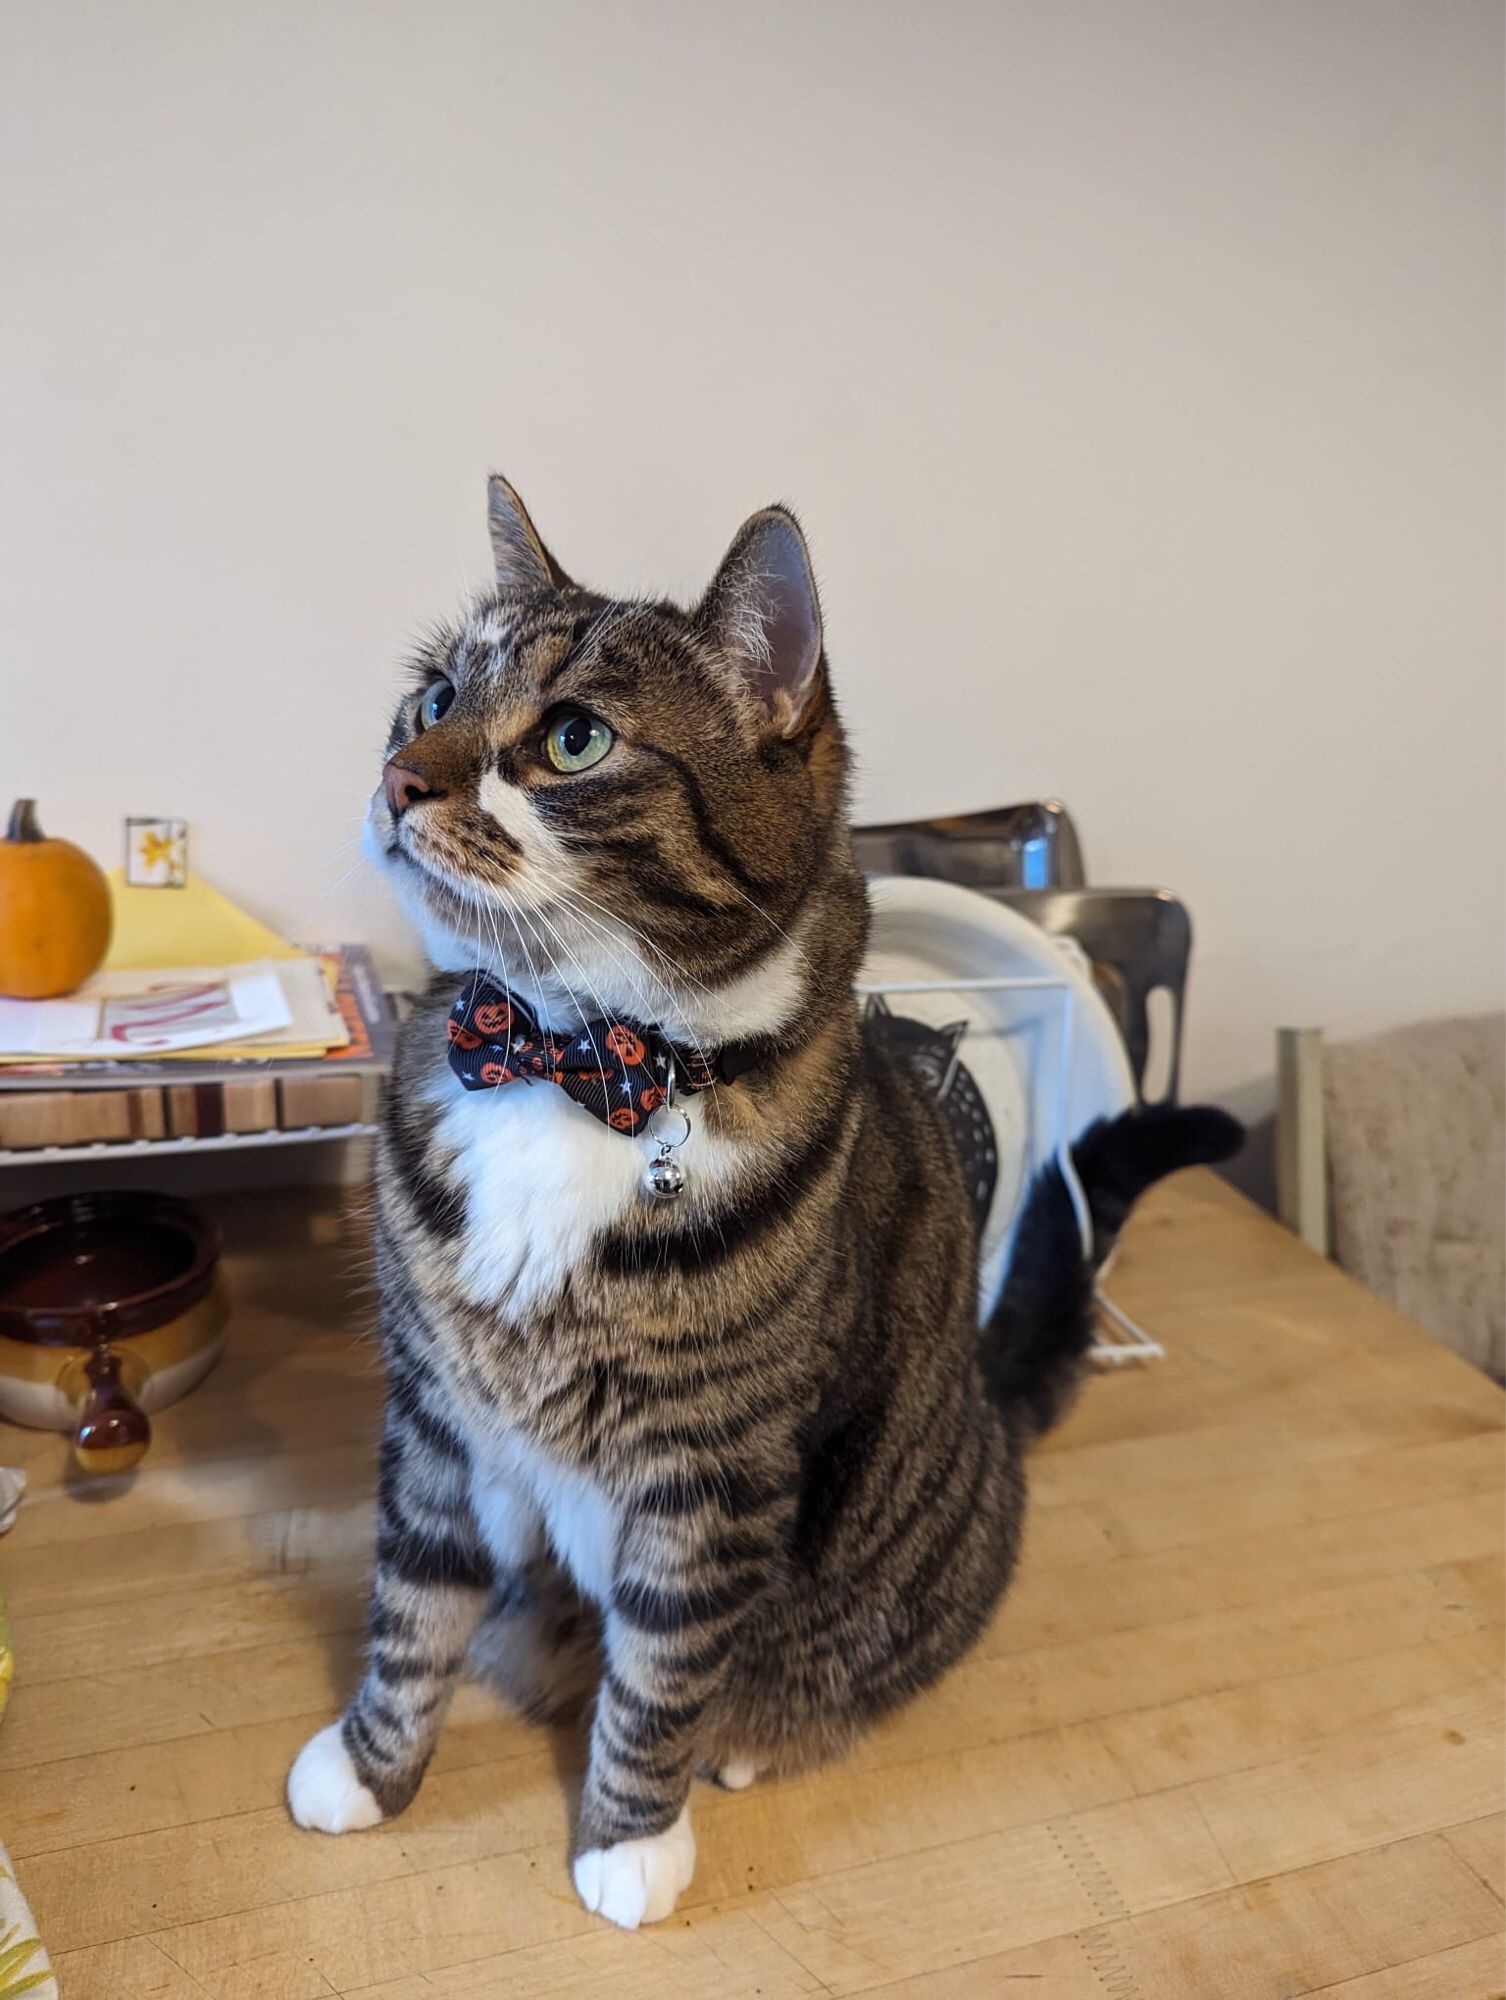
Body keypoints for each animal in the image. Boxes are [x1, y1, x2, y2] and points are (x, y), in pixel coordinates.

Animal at [288, 476, 1240, 1928]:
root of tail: (987, 1407)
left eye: (572, 738)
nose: (400, 777)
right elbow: (410, 1602)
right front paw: (369, 1765)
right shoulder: (439, 1413)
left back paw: (732, 1733)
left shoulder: (712, 1472)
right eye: (434, 695)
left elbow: (662, 1671)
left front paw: (628, 1839)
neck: (568, 1065)